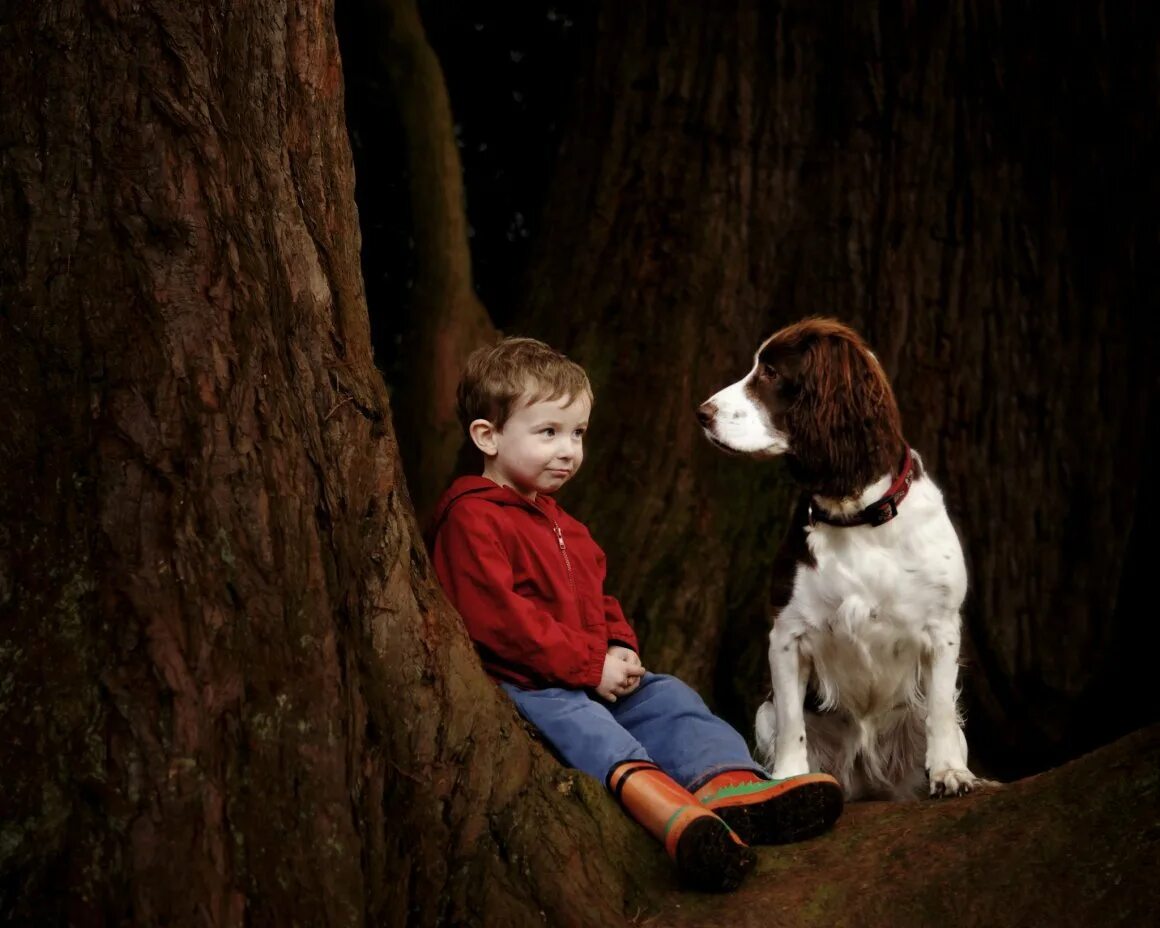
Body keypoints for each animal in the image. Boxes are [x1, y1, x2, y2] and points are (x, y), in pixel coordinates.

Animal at [696, 317, 979, 798]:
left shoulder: (942, 628)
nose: (703, 412)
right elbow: (793, 723)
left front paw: (949, 772)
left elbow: (941, 707)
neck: (858, 517)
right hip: (764, 714)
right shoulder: (787, 634)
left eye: (771, 372)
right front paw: (791, 779)